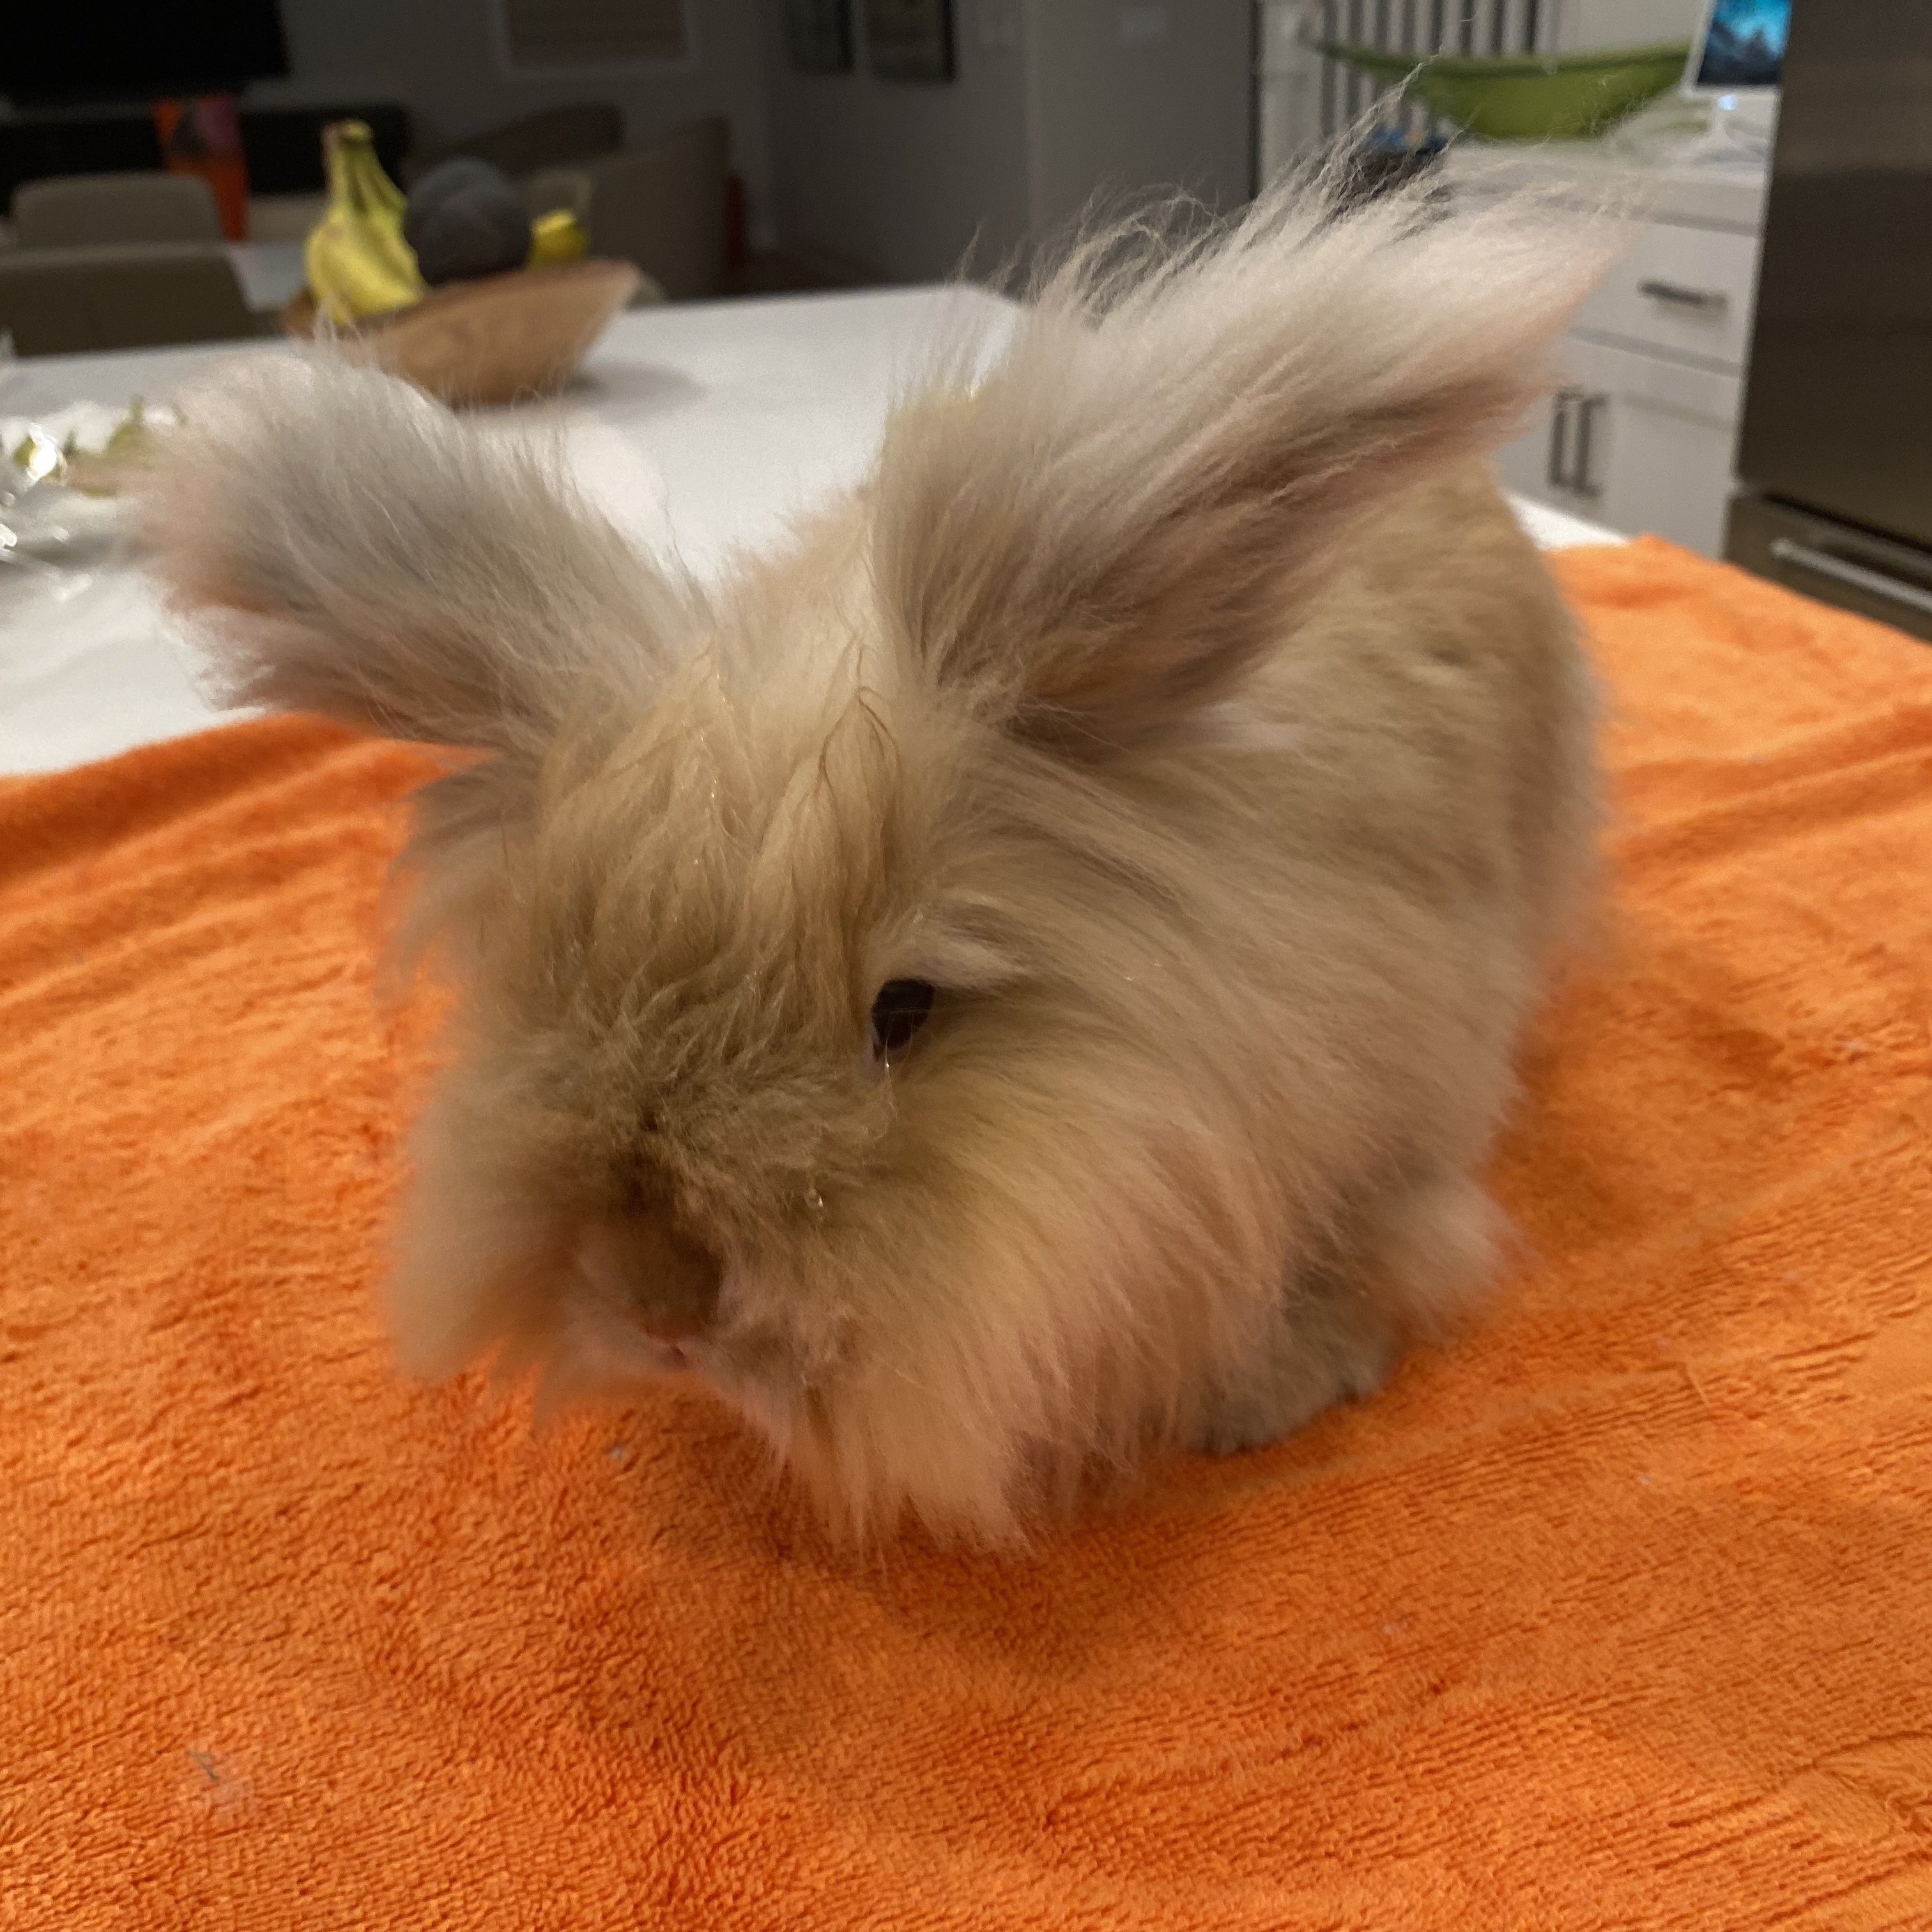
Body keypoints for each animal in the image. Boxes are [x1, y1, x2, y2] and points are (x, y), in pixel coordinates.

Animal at [142, 174, 1607, 1545]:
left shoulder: (1399, 1146)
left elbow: (1384, 1258)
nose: (654, 1297)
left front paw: (1261, 1395)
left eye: (903, 1012)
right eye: (540, 974)